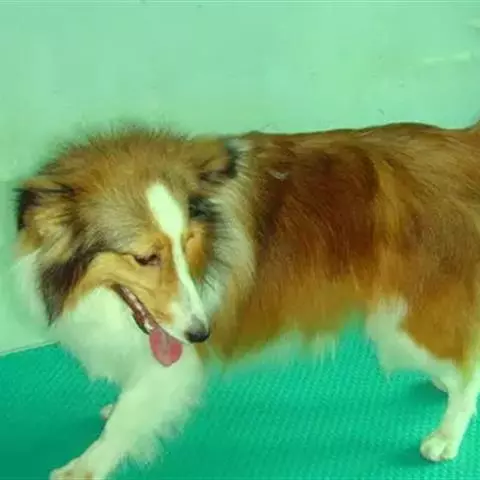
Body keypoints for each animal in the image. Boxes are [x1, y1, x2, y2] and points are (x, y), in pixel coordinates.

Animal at [14, 120, 480, 479]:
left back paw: (445, 437)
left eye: (187, 243)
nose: (201, 333)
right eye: (145, 258)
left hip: (404, 320)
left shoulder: (175, 359)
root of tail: (462, 143)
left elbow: (131, 414)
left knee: (467, 372)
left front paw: (83, 467)